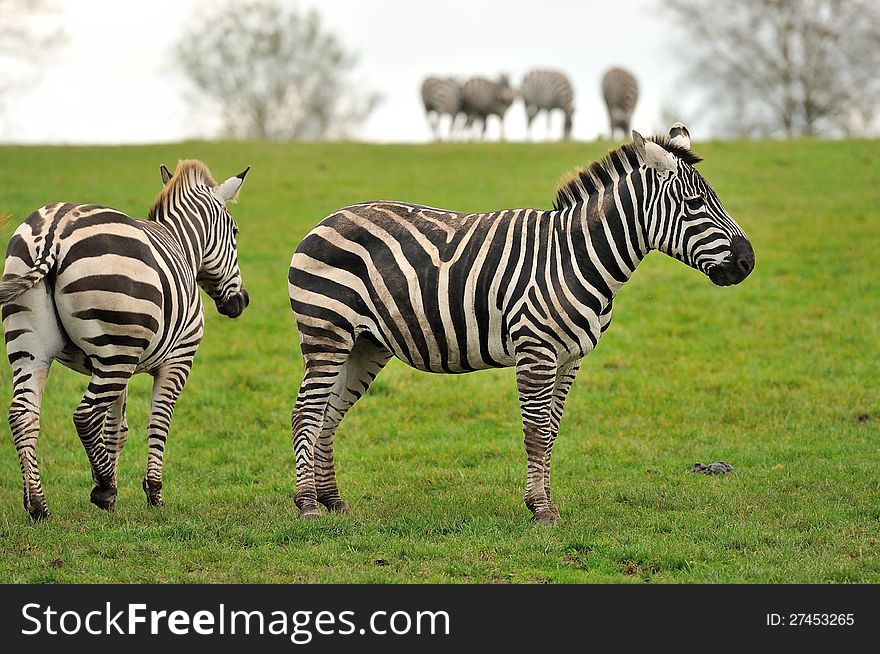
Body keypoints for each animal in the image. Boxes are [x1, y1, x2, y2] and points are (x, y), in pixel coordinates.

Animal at [0, 160, 248, 524]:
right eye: (235, 233)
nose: (241, 302)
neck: (183, 245)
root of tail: (54, 231)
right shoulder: (178, 360)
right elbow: (158, 422)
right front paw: (152, 493)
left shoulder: (120, 363)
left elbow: (117, 430)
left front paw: (114, 489)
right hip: (114, 353)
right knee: (85, 415)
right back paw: (102, 488)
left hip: (35, 347)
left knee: (23, 415)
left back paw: (38, 505)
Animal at [290, 120, 756, 524]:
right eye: (694, 204)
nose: (748, 262)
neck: (576, 257)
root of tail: (325, 220)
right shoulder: (537, 352)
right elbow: (535, 431)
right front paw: (541, 510)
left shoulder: (571, 358)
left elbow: (551, 432)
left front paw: (545, 501)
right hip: (327, 335)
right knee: (305, 413)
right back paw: (307, 505)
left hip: (366, 343)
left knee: (329, 413)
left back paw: (332, 500)